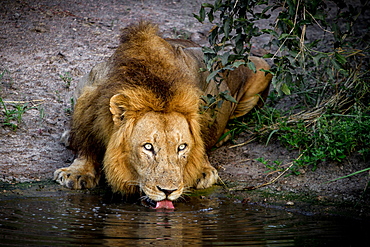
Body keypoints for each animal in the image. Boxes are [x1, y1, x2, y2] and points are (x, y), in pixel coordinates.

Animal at [52, 22, 272, 209]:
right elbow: (86, 143)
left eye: (182, 147)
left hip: (262, 68)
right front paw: (77, 172)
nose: (168, 191)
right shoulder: (90, 98)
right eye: (148, 147)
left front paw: (202, 170)